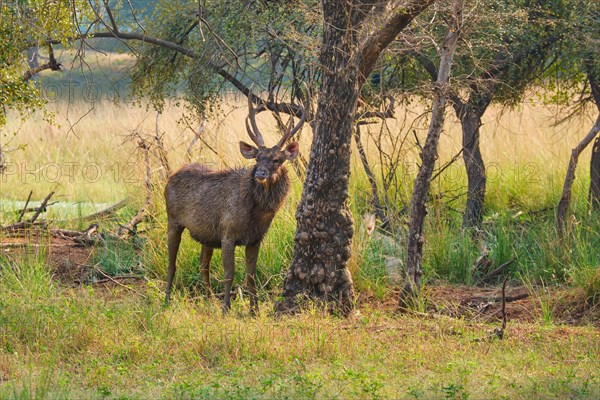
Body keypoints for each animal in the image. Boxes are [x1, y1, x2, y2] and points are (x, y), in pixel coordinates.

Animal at [163, 93, 304, 312]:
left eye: (277, 160)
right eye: (257, 158)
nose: (260, 173)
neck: (256, 215)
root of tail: (171, 177)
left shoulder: (255, 239)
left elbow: (251, 275)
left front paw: (254, 310)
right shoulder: (227, 233)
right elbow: (229, 274)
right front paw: (226, 309)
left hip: (206, 235)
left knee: (203, 265)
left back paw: (210, 299)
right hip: (173, 219)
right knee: (171, 263)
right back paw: (167, 299)